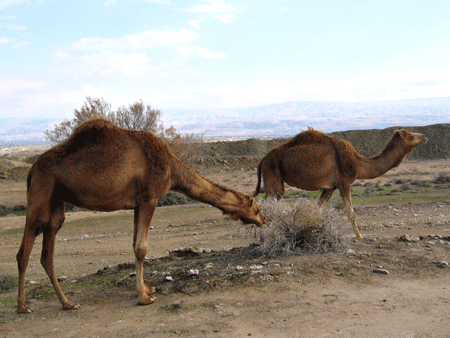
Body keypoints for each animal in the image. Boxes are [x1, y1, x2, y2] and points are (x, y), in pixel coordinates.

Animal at [15, 117, 266, 312]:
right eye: (256, 207)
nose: (264, 219)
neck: (172, 170)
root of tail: (31, 171)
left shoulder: (137, 204)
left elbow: (134, 245)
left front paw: (147, 288)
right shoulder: (149, 198)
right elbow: (141, 248)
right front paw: (144, 298)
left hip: (57, 202)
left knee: (47, 251)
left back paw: (67, 303)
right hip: (41, 192)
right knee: (25, 250)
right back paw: (23, 306)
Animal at [255, 126, 428, 238]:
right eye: (412, 136)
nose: (424, 137)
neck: (358, 163)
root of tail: (263, 159)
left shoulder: (330, 187)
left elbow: (319, 210)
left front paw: (314, 231)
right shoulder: (345, 183)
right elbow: (350, 212)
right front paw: (360, 237)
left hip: (277, 181)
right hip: (272, 173)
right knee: (267, 204)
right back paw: (264, 236)